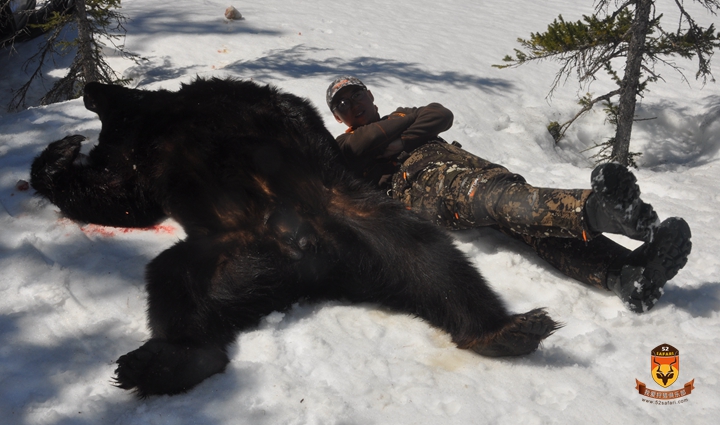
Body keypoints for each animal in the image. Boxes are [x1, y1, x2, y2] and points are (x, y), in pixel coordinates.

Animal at [31, 78, 560, 398]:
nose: (87, 91)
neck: (152, 129)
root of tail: (307, 257)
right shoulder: (143, 167)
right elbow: (119, 200)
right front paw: (59, 154)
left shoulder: (189, 120)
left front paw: (67, 142)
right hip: (227, 252)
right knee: (176, 285)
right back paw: (161, 361)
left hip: (360, 219)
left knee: (434, 263)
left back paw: (509, 328)